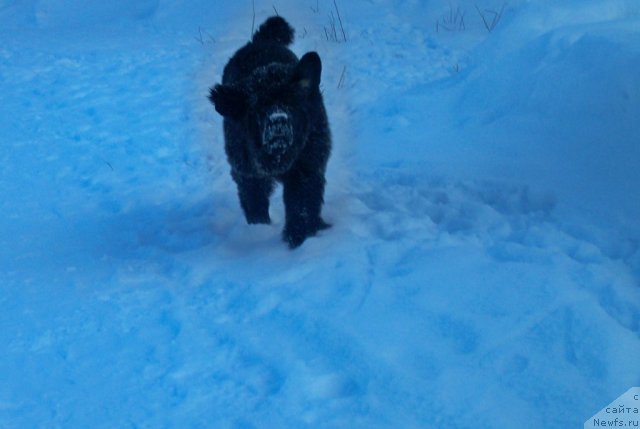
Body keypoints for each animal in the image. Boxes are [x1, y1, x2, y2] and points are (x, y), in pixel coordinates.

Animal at [210, 16, 332, 249]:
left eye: (291, 103)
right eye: (260, 107)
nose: (278, 121)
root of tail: (259, 41)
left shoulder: (306, 168)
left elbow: (301, 205)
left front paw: (298, 236)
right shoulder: (249, 173)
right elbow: (255, 202)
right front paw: (259, 230)